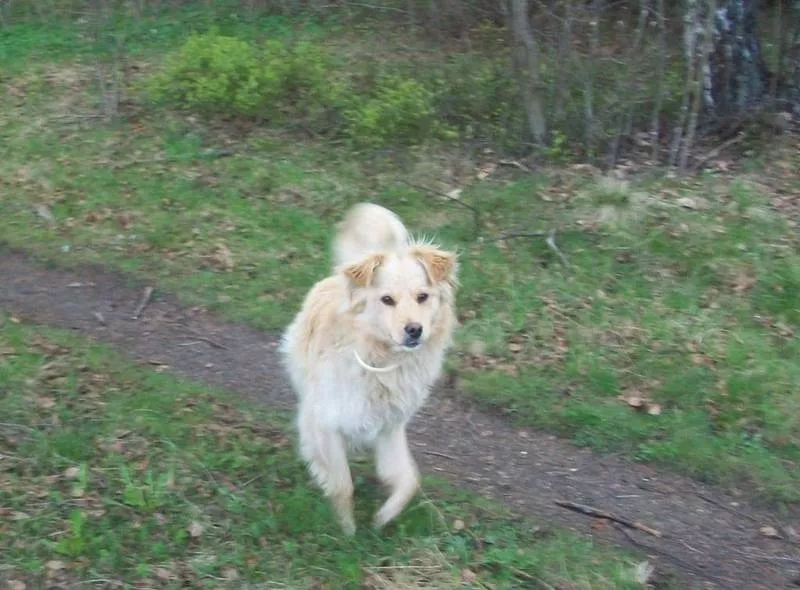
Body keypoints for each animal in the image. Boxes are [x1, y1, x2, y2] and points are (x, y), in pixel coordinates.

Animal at [280, 204, 456, 536]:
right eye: (387, 300)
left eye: (422, 297)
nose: (414, 330)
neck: (383, 362)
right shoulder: (325, 421)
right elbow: (342, 484)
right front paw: (346, 531)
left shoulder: (389, 428)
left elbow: (409, 479)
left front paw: (382, 518)